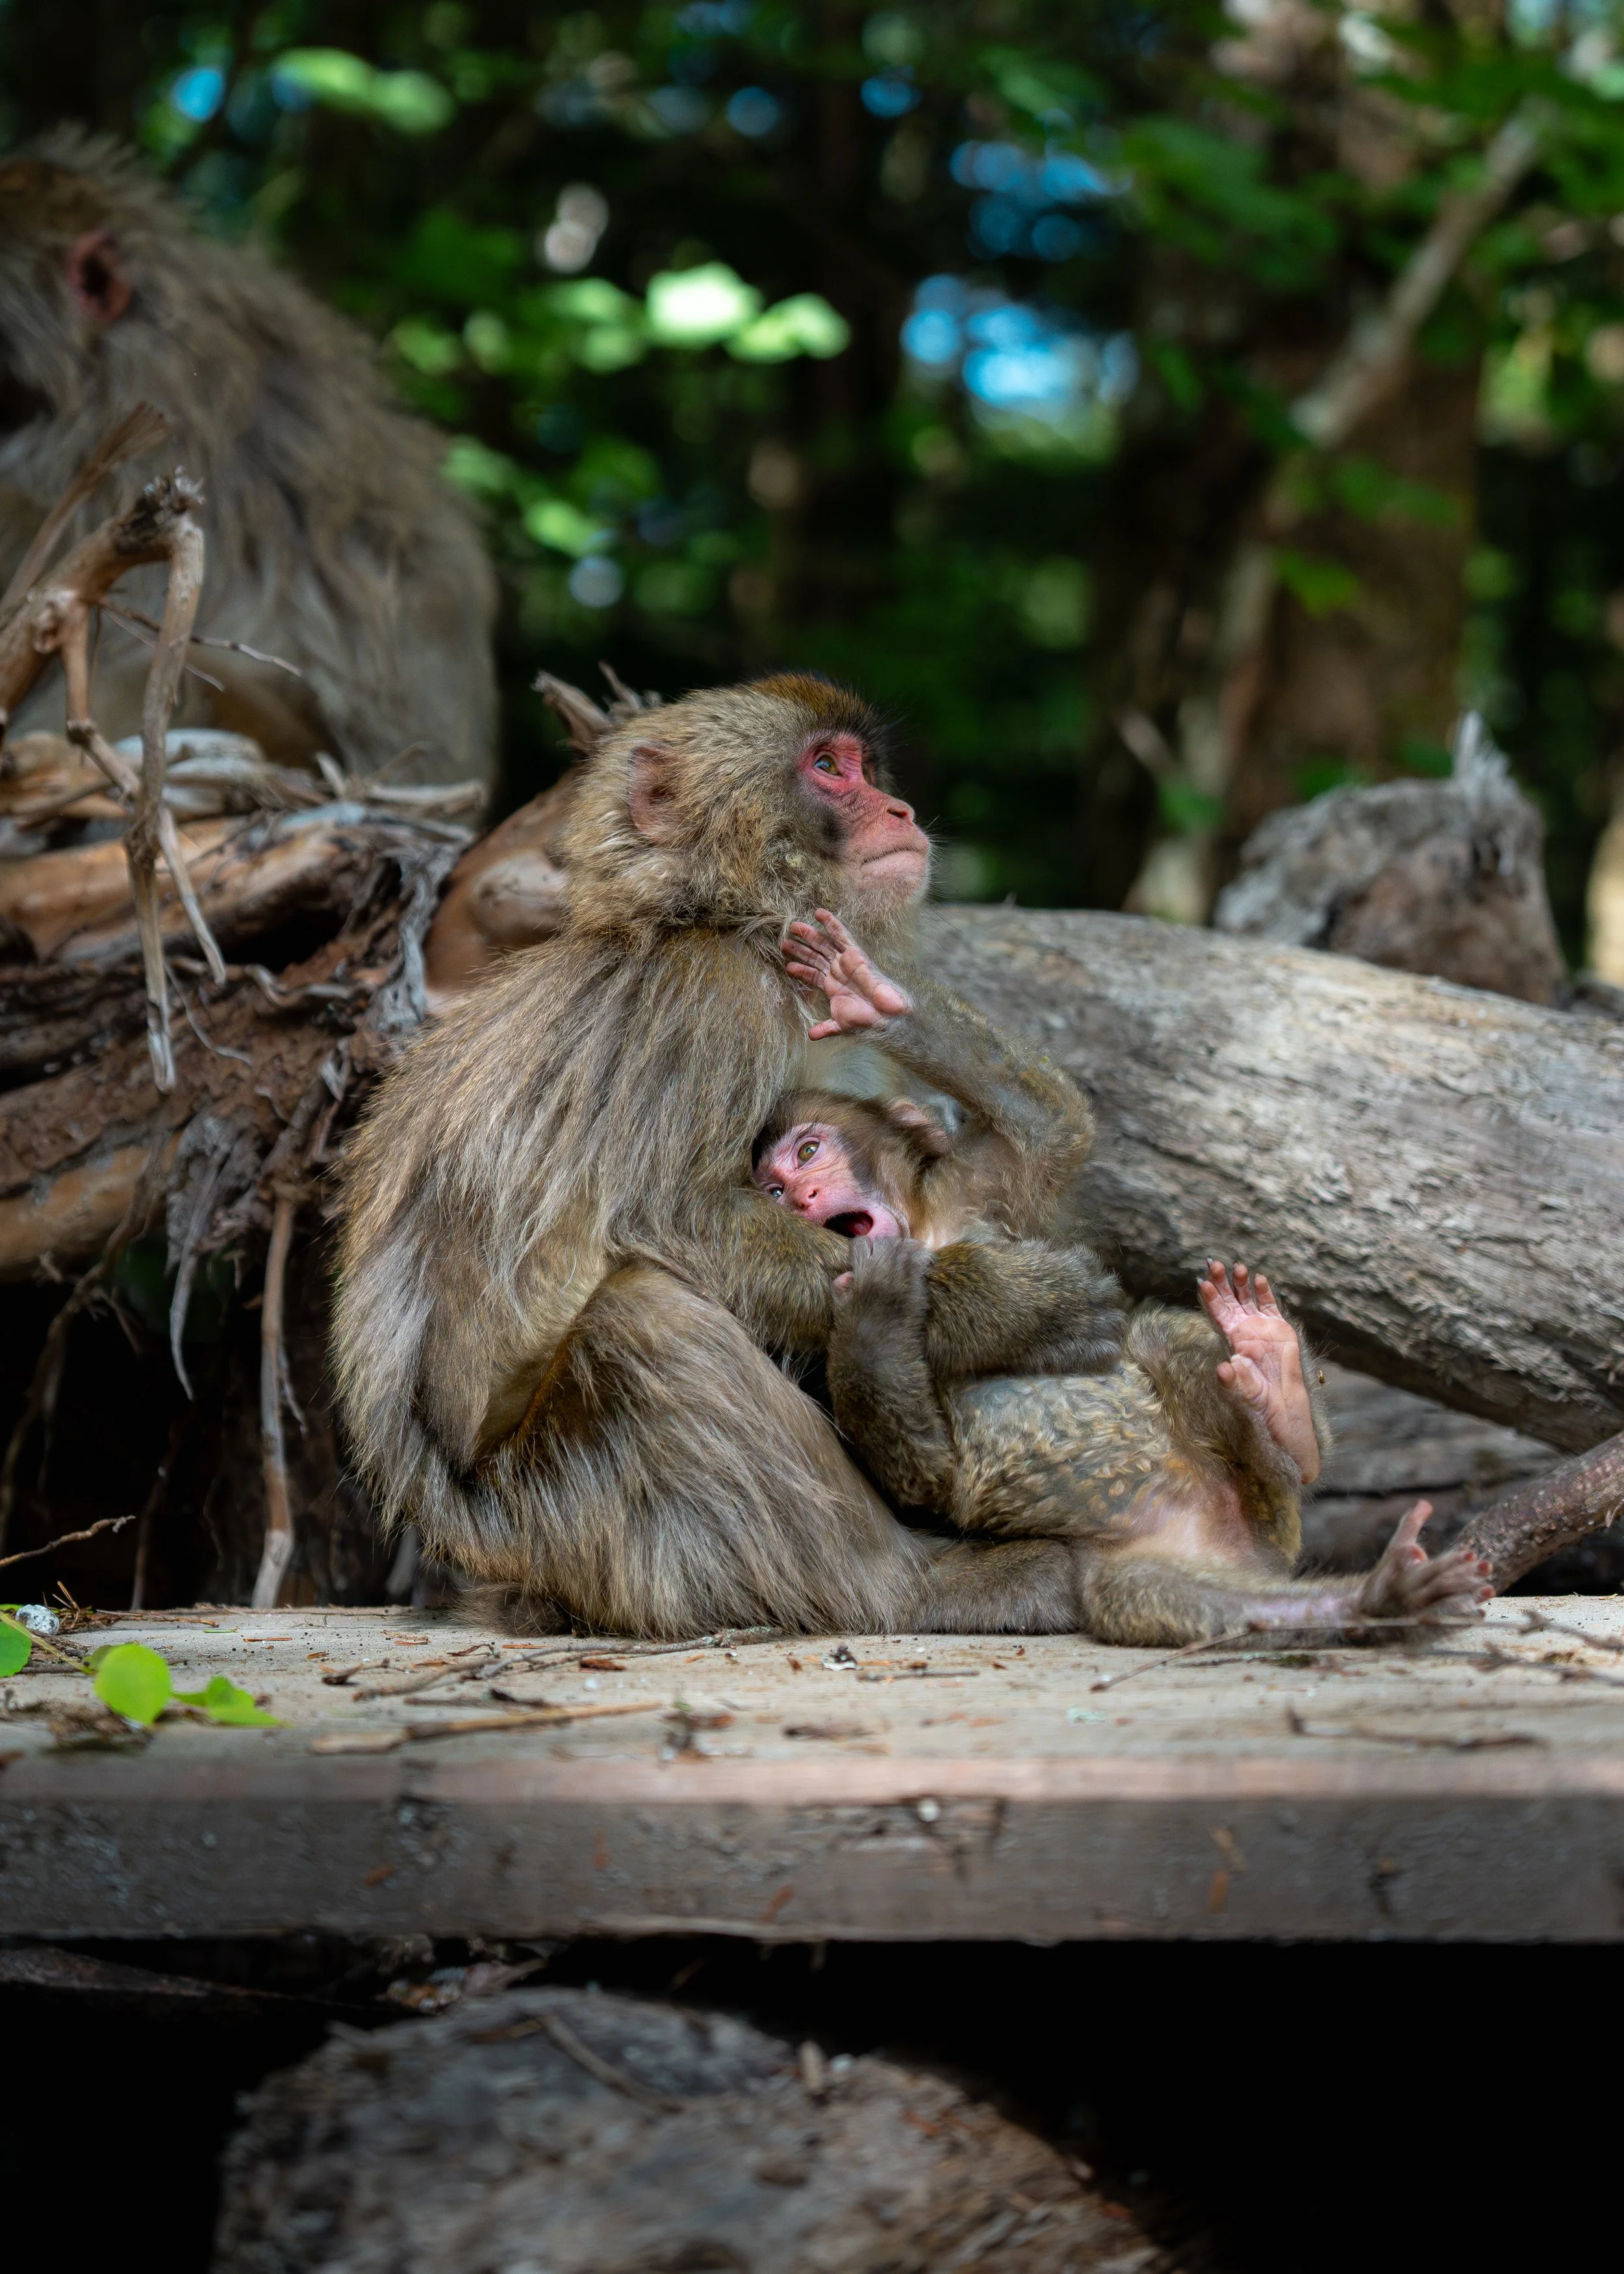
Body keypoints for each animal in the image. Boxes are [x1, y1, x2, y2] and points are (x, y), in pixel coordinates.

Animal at [337, 672, 1162, 1640]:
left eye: (863, 764)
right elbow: (675, 1217)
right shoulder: (712, 999)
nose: (900, 808)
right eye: (828, 767)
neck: (730, 924)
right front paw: (1010, 1306)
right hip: (575, 1525)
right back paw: (910, 1585)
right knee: (644, 1322)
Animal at [750, 937, 1491, 1644]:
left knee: (1168, 1343)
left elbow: (1055, 1126)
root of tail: (1236, 1544)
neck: (928, 1230)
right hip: (1144, 1573)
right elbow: (923, 1475)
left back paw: (1282, 1405)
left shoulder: (982, 1186)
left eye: (810, 1152)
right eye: (774, 1191)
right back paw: (1374, 1597)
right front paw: (874, 1308)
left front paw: (873, 998)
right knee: (1149, 1592)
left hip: (1270, 1511)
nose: (804, 1197)